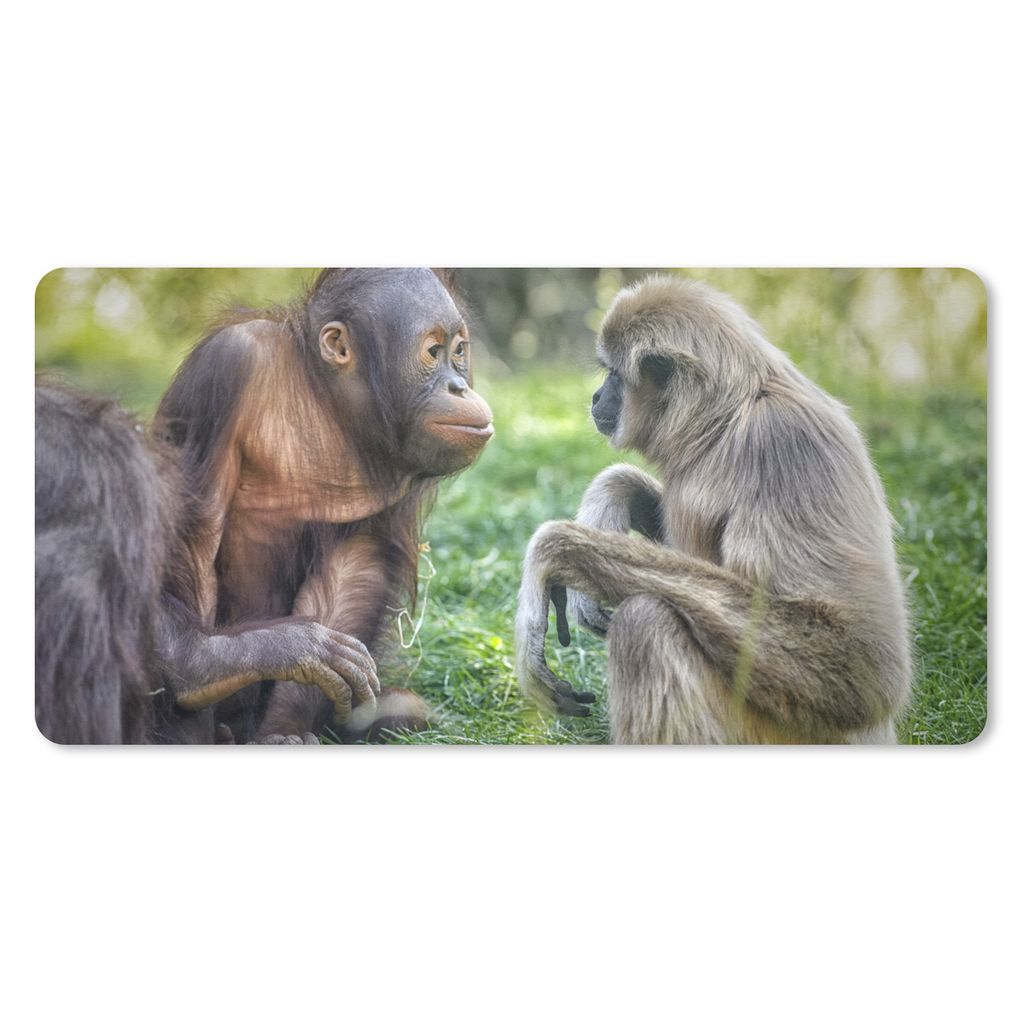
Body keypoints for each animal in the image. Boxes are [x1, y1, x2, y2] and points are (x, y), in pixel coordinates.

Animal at [154, 267, 494, 744]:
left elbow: (356, 563)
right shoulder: (227, 364)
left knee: (408, 708)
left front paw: (283, 727)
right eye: (433, 352)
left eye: (459, 351)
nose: (459, 385)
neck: (325, 397)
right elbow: (190, 537)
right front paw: (217, 667)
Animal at [515, 275, 912, 744]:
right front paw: (609, 500)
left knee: (645, 621)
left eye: (613, 375)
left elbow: (860, 662)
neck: (726, 421)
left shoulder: (783, 442)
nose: (596, 396)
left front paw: (555, 551)